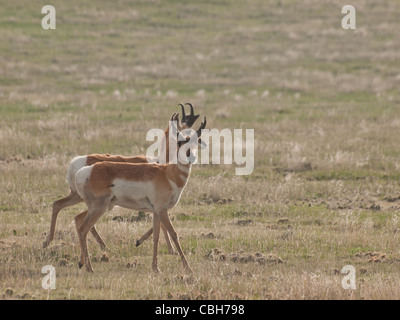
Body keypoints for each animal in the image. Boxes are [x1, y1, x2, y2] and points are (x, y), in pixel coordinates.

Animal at [43, 103, 200, 252]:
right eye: (183, 134)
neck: (159, 162)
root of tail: (74, 164)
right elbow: (161, 224)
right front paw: (163, 248)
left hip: (78, 196)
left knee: (59, 206)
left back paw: (49, 242)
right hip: (93, 201)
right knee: (81, 220)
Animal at [73, 115, 208, 272]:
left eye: (195, 142)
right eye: (180, 142)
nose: (190, 157)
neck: (168, 173)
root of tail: (86, 171)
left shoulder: (156, 212)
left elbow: (156, 236)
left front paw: (156, 268)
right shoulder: (162, 210)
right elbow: (174, 234)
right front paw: (188, 268)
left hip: (98, 207)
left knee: (80, 222)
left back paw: (82, 263)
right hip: (99, 208)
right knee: (83, 229)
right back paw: (89, 268)